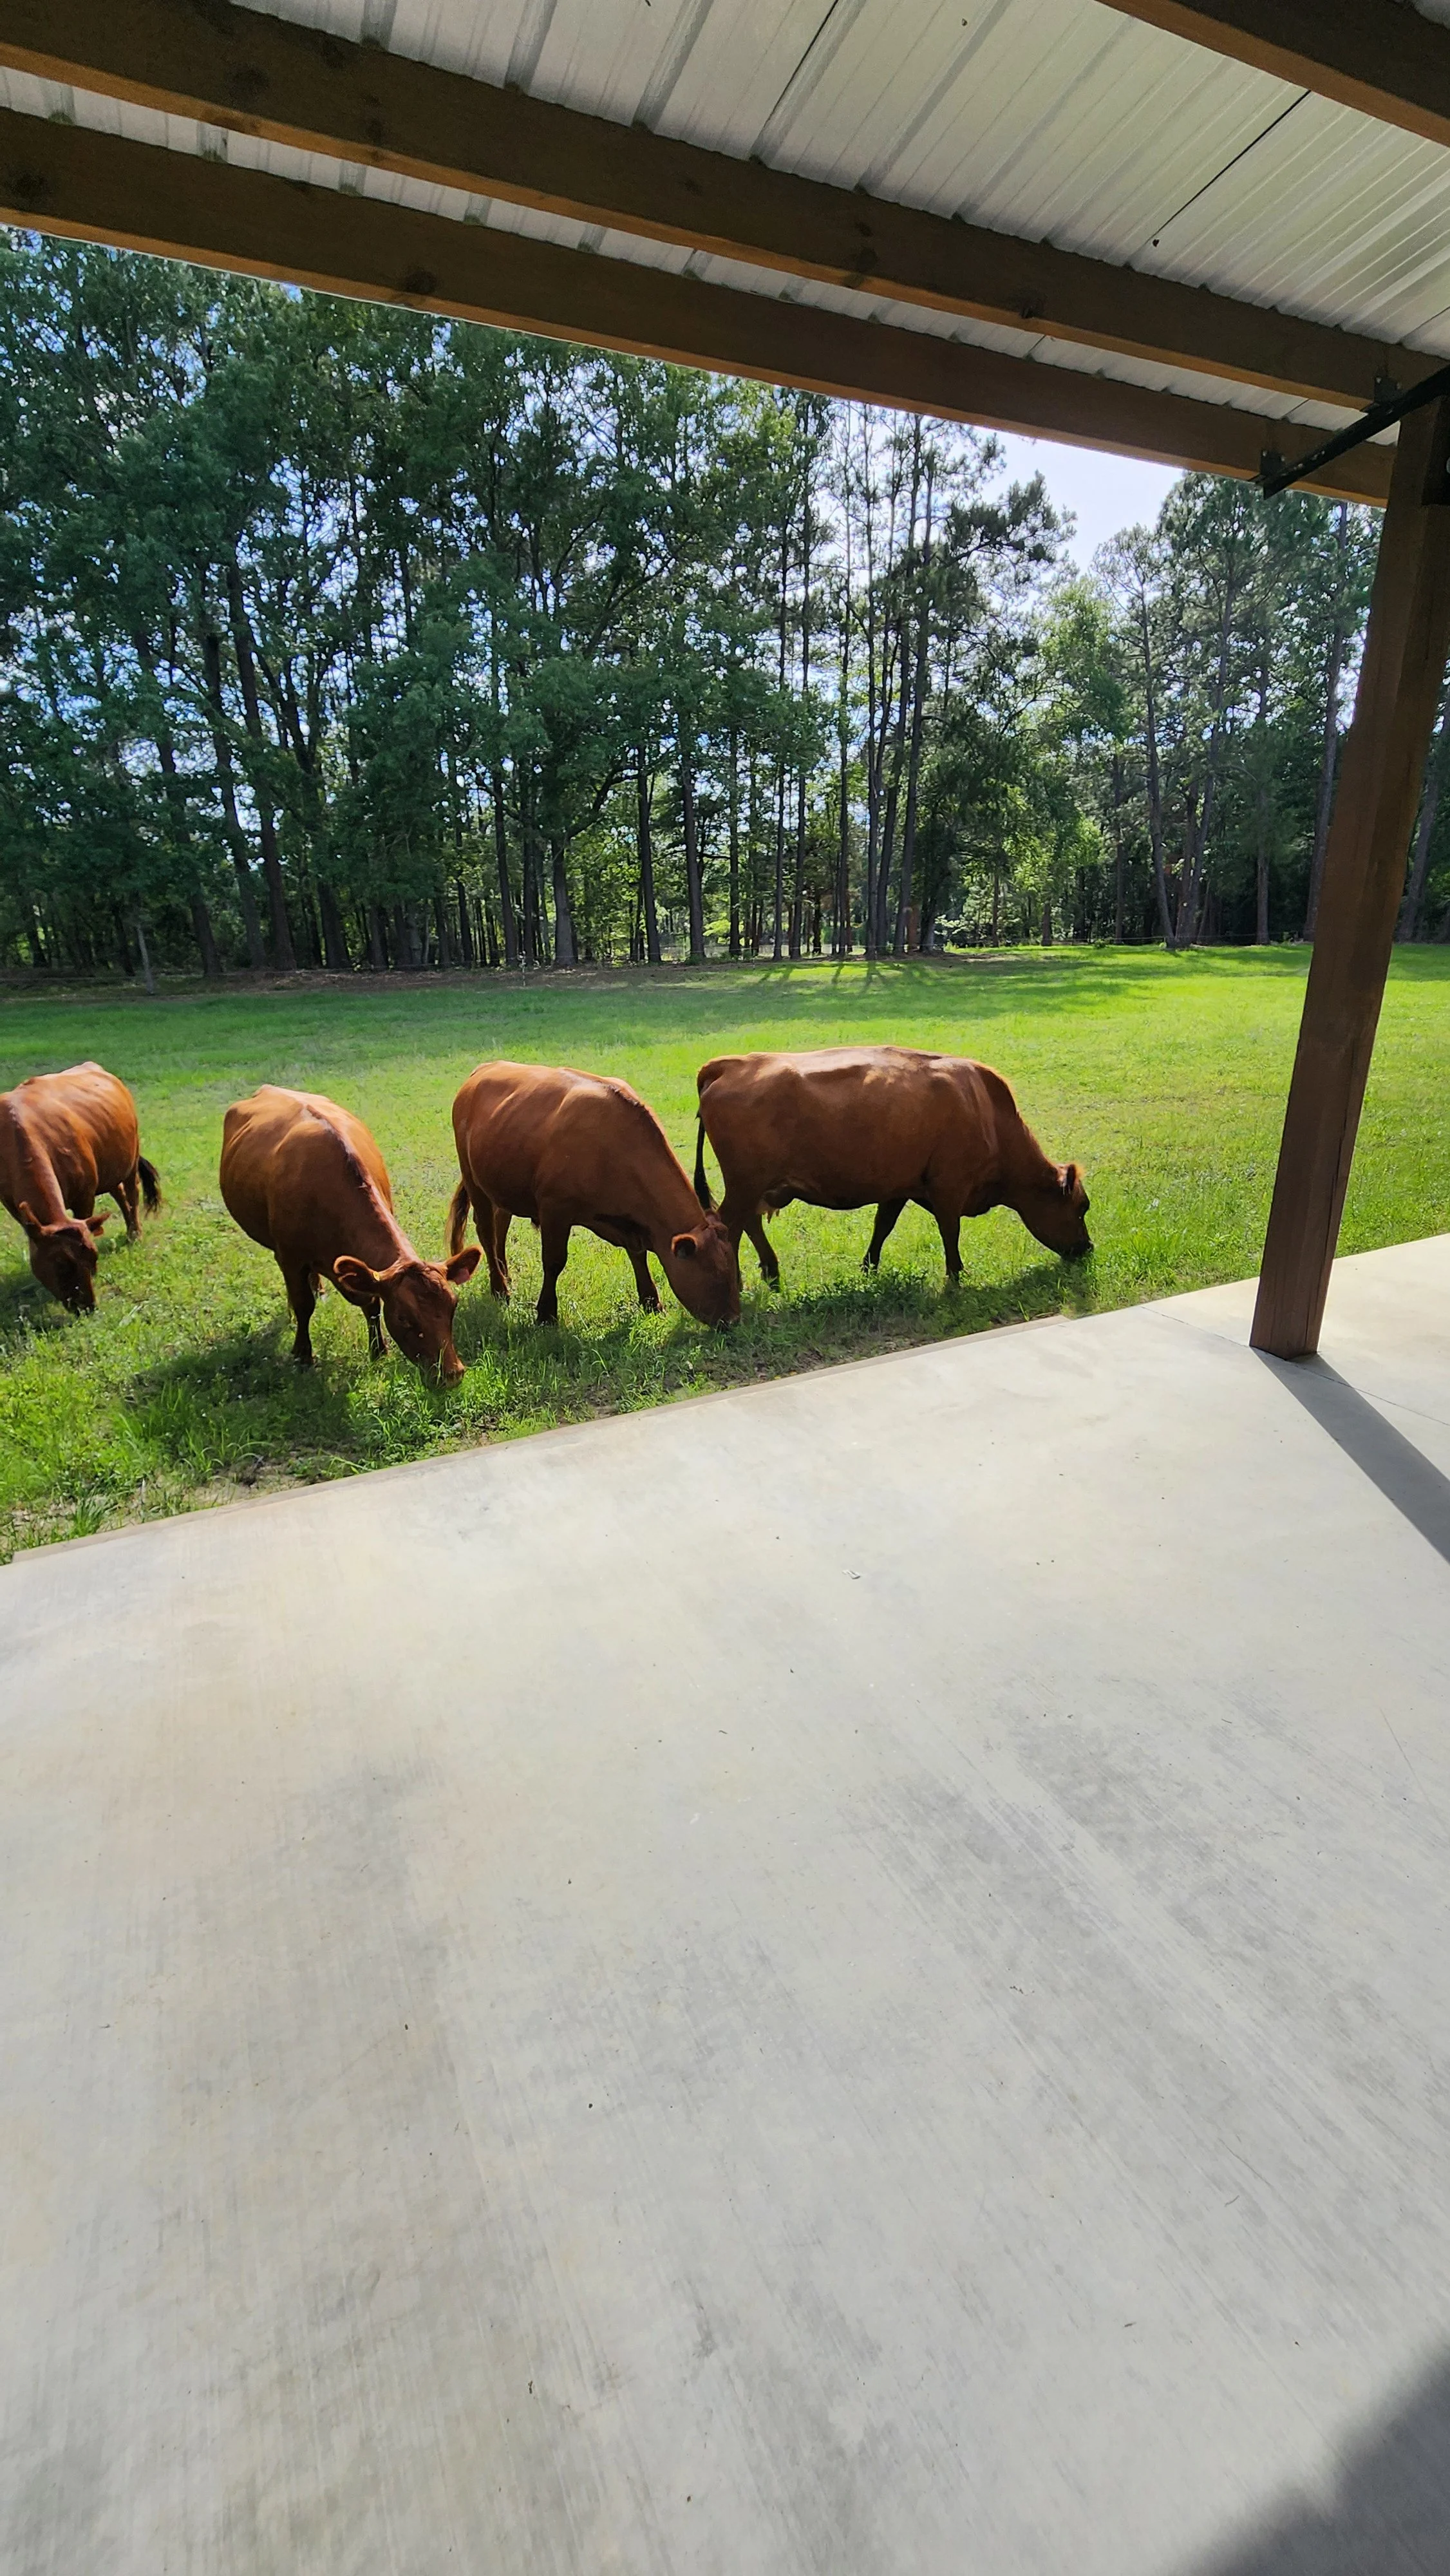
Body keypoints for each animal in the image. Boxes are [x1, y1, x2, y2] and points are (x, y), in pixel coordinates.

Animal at [0, 1062, 162, 1313]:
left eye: (93, 1258)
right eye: (61, 1265)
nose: (88, 1306)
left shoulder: (84, 1196)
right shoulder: (11, 1203)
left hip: (131, 1157)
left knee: (132, 1192)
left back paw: (135, 1233)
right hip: (108, 1167)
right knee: (119, 1193)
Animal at [220, 1087, 479, 1379]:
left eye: (453, 1305)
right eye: (403, 1317)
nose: (453, 1373)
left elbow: (372, 1304)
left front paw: (379, 1351)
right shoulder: (290, 1257)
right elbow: (303, 1304)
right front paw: (303, 1355)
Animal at [448, 1060, 739, 1328]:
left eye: (735, 1272)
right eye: (715, 1277)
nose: (734, 1320)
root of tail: (487, 1067)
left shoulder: (625, 1221)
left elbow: (637, 1253)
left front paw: (651, 1302)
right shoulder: (555, 1209)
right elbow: (554, 1261)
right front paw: (546, 1314)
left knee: (501, 1226)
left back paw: (505, 1276)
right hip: (473, 1177)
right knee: (487, 1232)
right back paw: (500, 1289)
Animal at [693, 1045, 1091, 1289]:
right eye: (1082, 1207)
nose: (1087, 1248)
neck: (986, 1111)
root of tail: (730, 1065)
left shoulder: (900, 1188)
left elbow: (882, 1227)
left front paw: (868, 1268)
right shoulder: (949, 1188)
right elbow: (950, 1231)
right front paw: (956, 1278)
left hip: (754, 1188)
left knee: (748, 1223)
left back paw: (771, 1275)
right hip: (745, 1186)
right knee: (729, 1227)